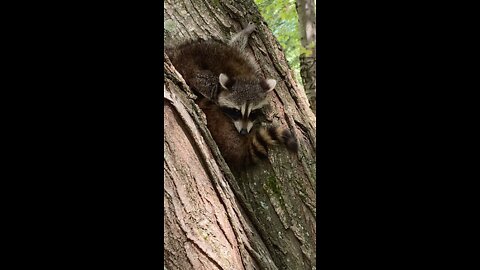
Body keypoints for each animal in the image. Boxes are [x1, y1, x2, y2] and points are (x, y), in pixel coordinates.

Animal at [165, 22, 296, 169]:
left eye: (253, 112)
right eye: (236, 111)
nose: (244, 132)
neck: (243, 77)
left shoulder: (242, 58)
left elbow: (235, 44)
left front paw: (245, 32)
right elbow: (209, 85)